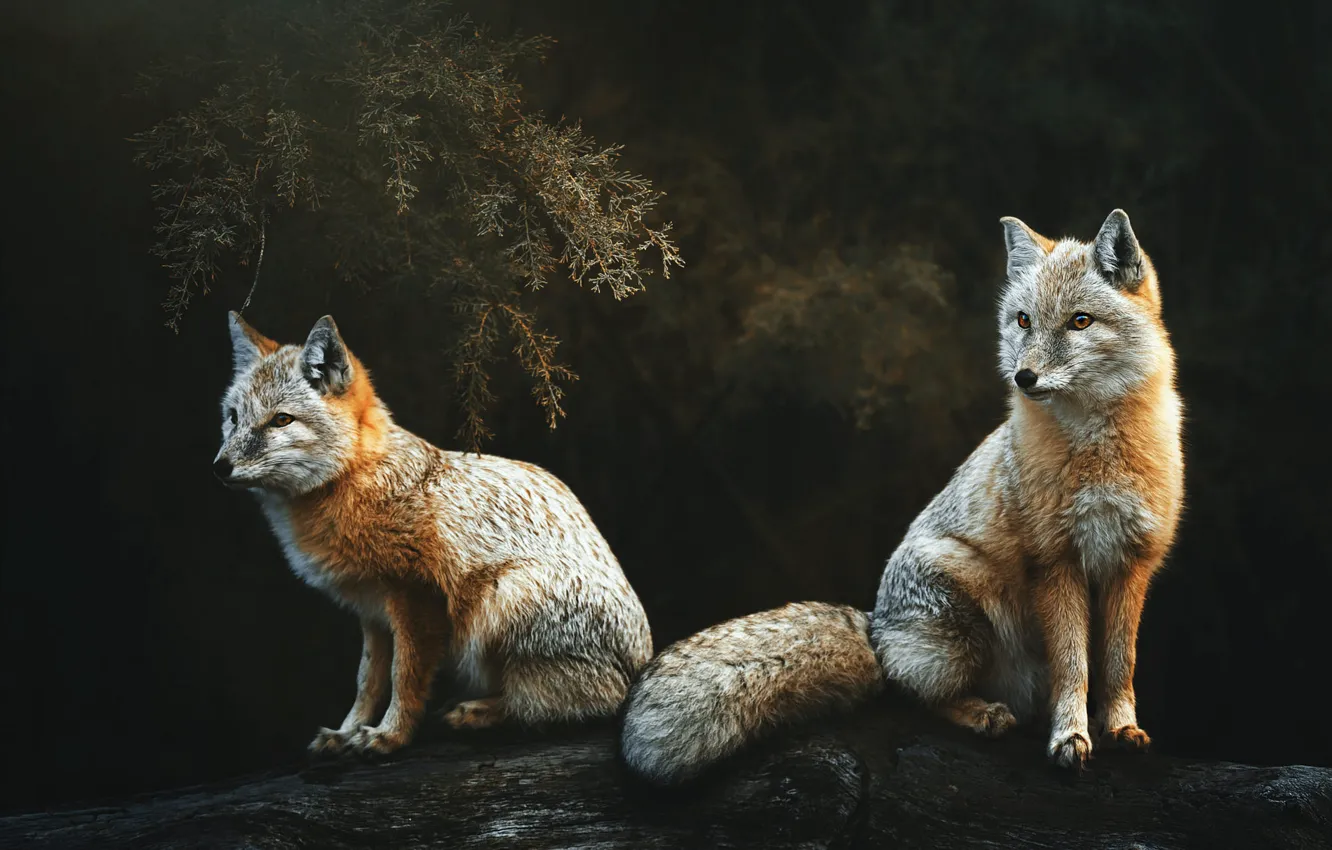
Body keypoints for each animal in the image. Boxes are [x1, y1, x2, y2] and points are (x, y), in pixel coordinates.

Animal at [214, 312, 653, 756]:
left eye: (281, 420)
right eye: (233, 417)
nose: (219, 467)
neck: (357, 482)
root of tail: (639, 664)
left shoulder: (417, 597)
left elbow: (403, 676)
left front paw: (389, 736)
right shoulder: (372, 612)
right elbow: (367, 681)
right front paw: (346, 732)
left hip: (498, 602)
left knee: (558, 703)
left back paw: (480, 712)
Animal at [620, 209, 1184, 783]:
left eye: (1080, 322)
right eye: (1024, 321)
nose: (1024, 377)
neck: (1098, 453)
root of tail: (876, 626)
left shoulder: (1132, 563)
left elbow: (1118, 663)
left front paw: (1121, 728)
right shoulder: (1055, 563)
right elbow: (1073, 665)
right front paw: (1069, 736)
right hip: (968, 609)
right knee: (913, 694)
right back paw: (983, 713)